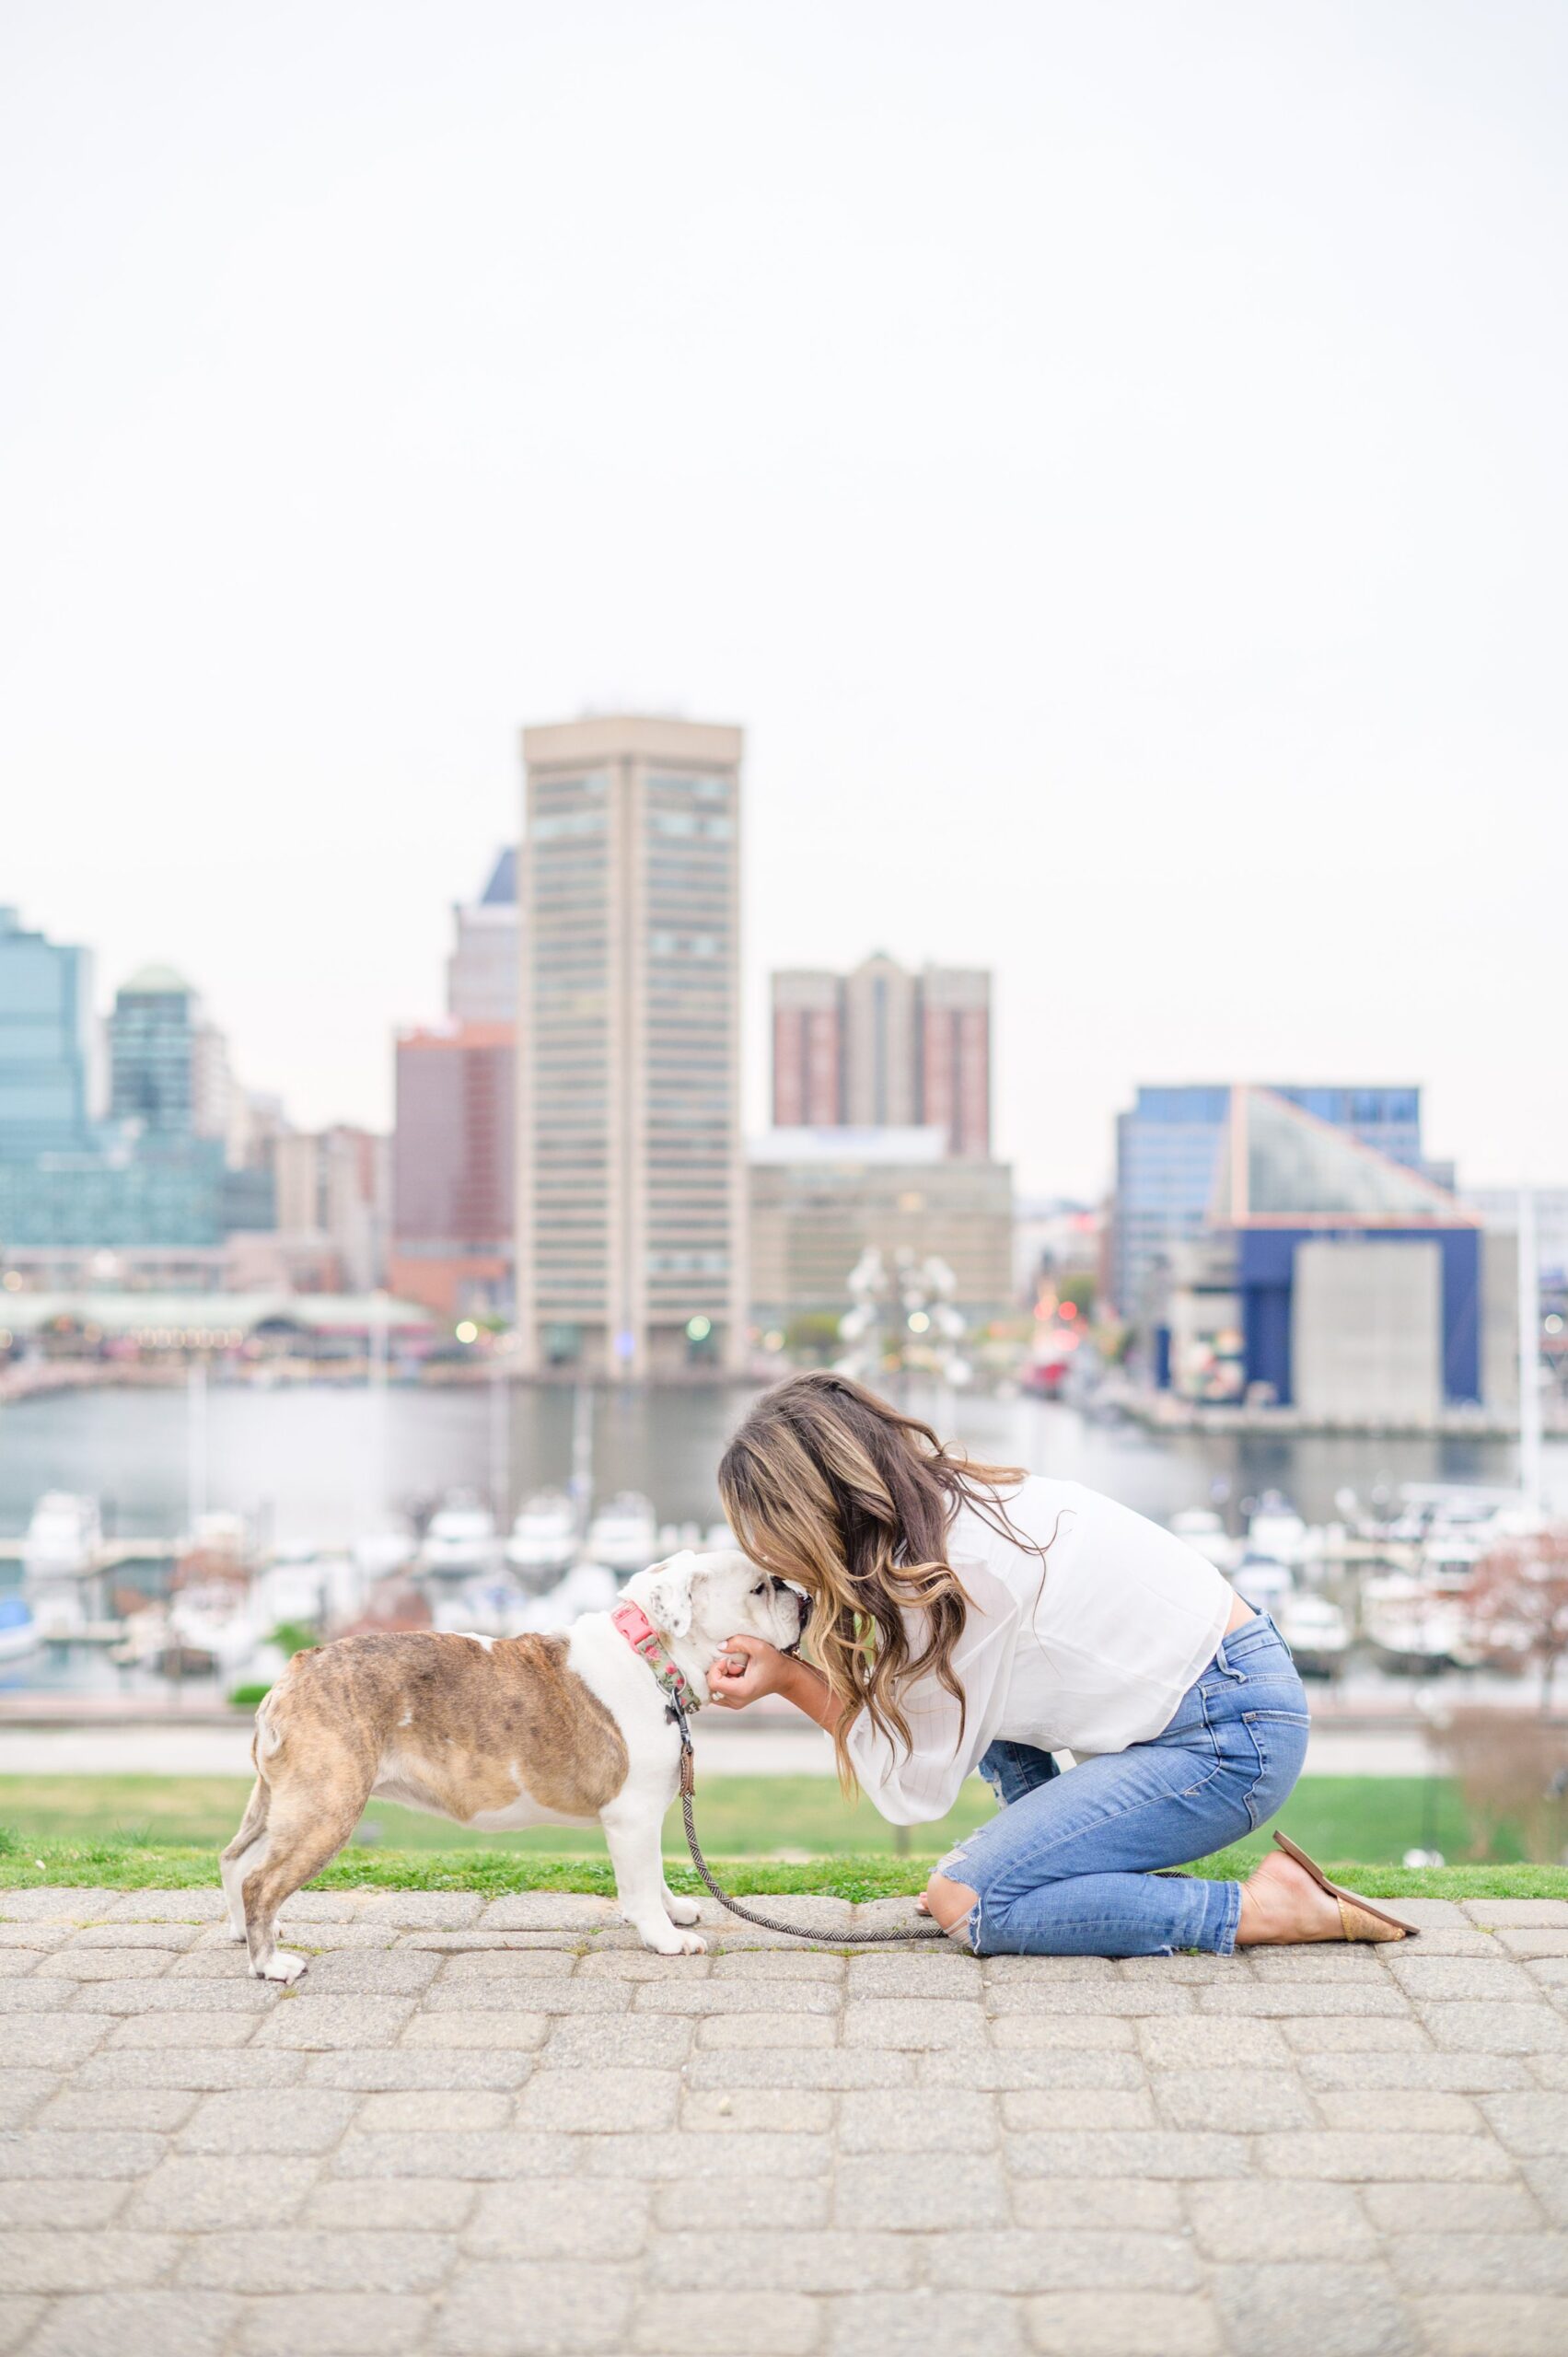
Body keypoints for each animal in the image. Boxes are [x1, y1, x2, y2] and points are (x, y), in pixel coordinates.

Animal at [221, 1555, 801, 1980]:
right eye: (759, 1589)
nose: (803, 1596)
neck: (652, 1656)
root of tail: (298, 1667)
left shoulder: (644, 1819)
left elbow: (653, 1872)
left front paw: (674, 1909)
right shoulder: (632, 1816)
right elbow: (639, 1884)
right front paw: (666, 1937)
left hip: (278, 1802)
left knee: (235, 1860)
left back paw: (245, 1934)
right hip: (327, 1808)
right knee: (261, 1881)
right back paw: (270, 1964)